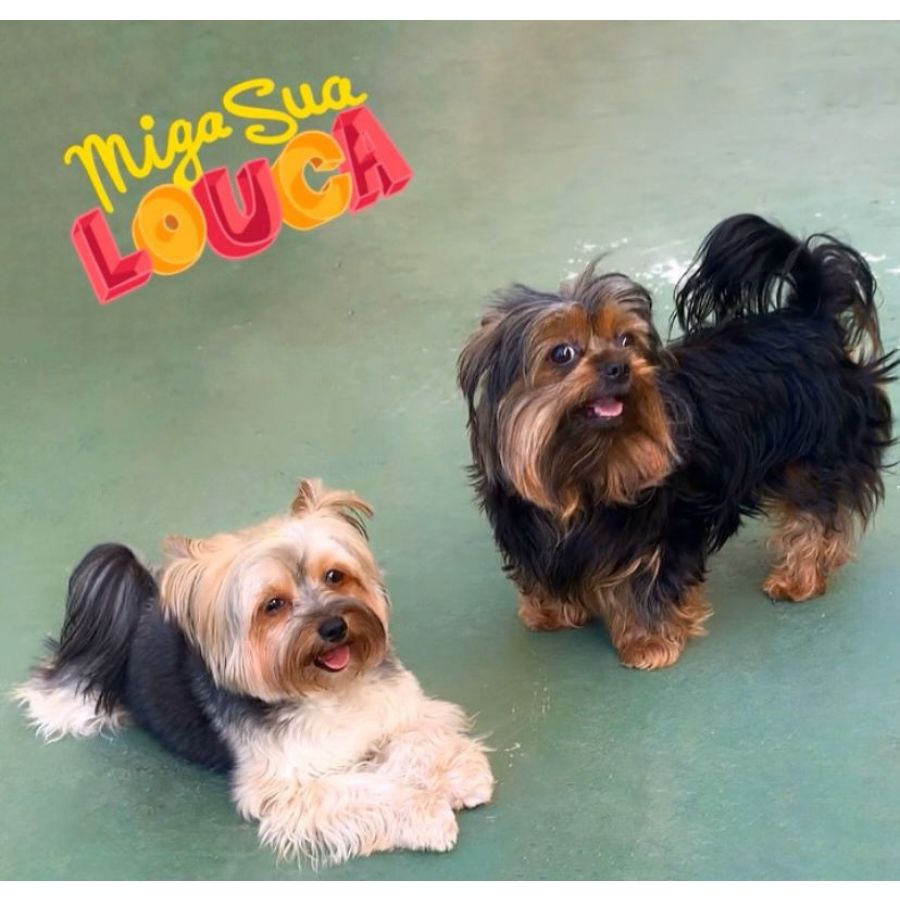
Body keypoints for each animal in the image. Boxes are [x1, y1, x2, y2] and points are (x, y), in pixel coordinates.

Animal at [14, 479, 494, 864]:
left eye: (335, 576)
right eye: (273, 605)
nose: (333, 627)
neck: (328, 689)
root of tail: (139, 604)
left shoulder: (402, 709)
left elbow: (418, 739)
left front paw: (459, 773)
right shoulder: (293, 788)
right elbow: (368, 790)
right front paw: (428, 814)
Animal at [458, 214, 895, 670]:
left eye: (626, 341)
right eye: (562, 353)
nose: (619, 366)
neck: (582, 467)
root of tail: (810, 318)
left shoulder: (658, 531)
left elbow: (646, 586)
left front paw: (648, 642)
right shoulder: (529, 529)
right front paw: (550, 611)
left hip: (816, 454)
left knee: (816, 513)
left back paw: (800, 578)